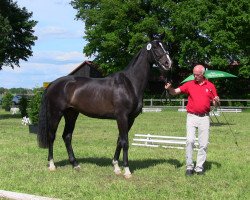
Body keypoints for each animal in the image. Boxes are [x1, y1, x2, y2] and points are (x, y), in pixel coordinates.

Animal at [37, 37, 172, 178]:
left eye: (165, 46)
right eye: (155, 47)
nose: (168, 63)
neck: (130, 83)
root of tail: (53, 84)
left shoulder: (130, 119)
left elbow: (119, 140)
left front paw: (116, 167)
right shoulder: (122, 117)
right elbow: (125, 142)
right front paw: (127, 170)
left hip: (71, 114)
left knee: (67, 136)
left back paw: (75, 164)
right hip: (56, 113)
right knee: (52, 136)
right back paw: (52, 165)